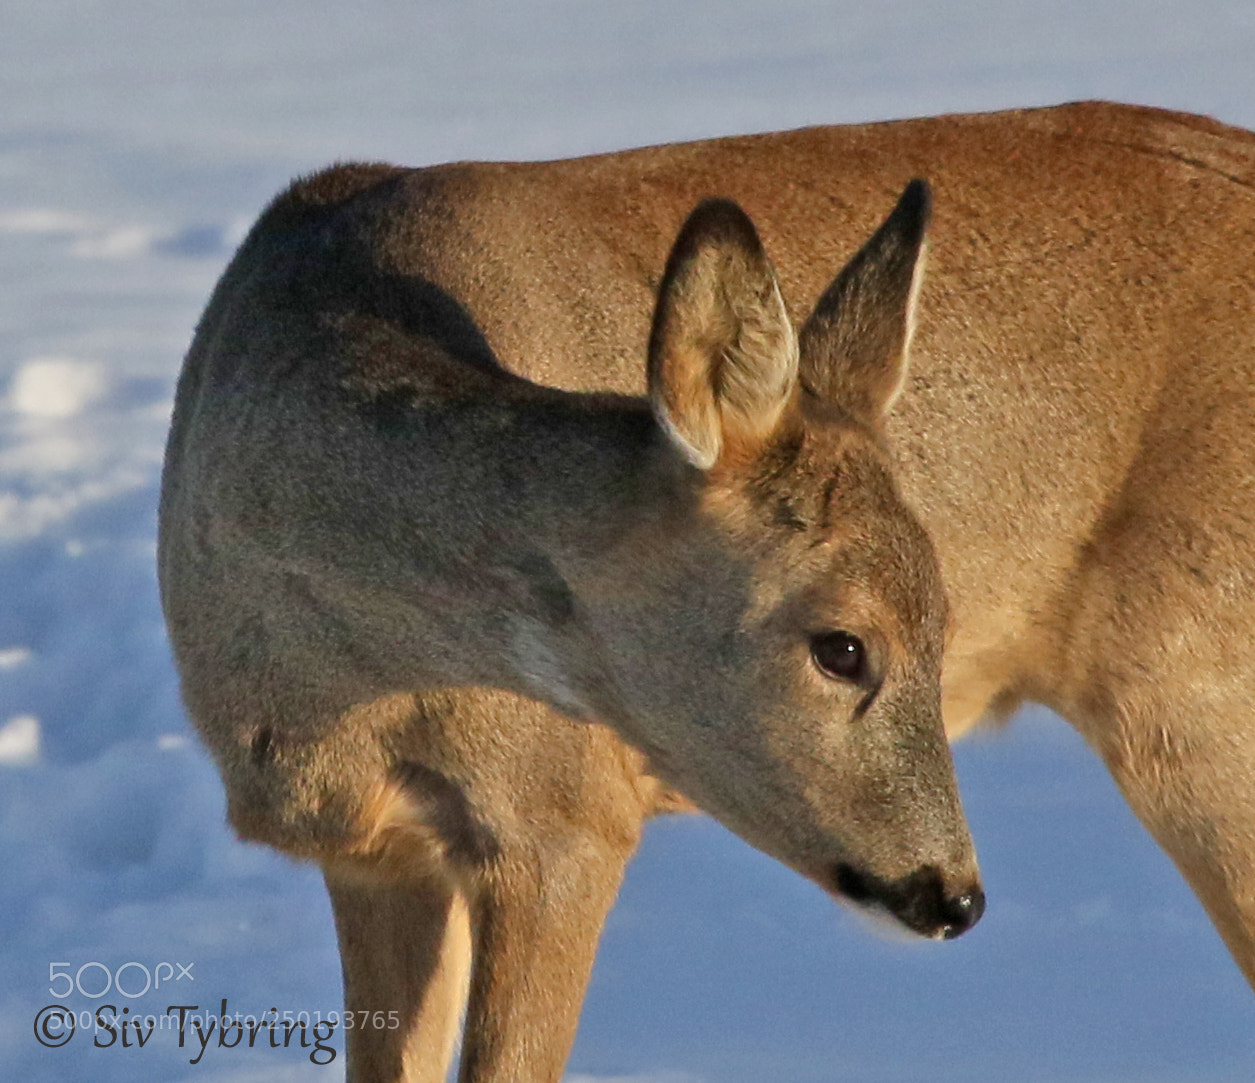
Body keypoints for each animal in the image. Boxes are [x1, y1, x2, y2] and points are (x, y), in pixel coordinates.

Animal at [159, 98, 1255, 1080]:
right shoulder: (376, 848)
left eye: (943, 624)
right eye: (842, 645)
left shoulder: (566, 815)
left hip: (1192, 687)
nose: (952, 894)